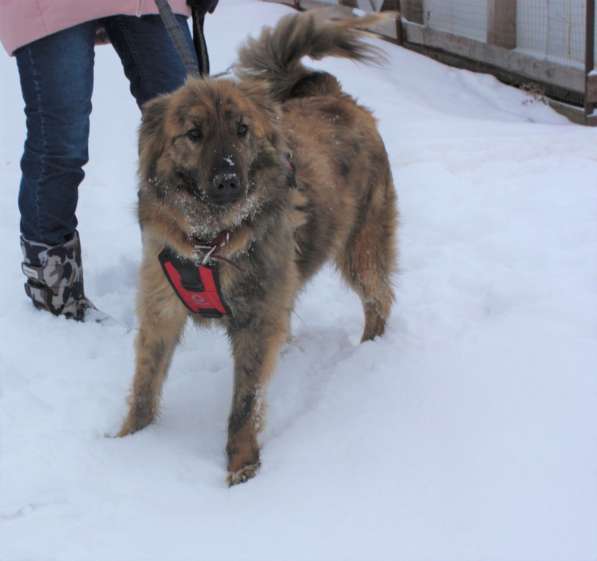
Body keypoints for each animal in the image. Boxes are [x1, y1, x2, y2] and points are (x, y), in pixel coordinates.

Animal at [117, 10, 398, 484]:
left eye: (242, 130)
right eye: (193, 133)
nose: (229, 181)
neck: (210, 242)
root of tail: (334, 96)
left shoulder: (255, 320)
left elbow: (245, 404)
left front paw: (242, 466)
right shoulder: (161, 307)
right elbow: (144, 386)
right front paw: (122, 446)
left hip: (362, 247)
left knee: (379, 299)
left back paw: (369, 351)